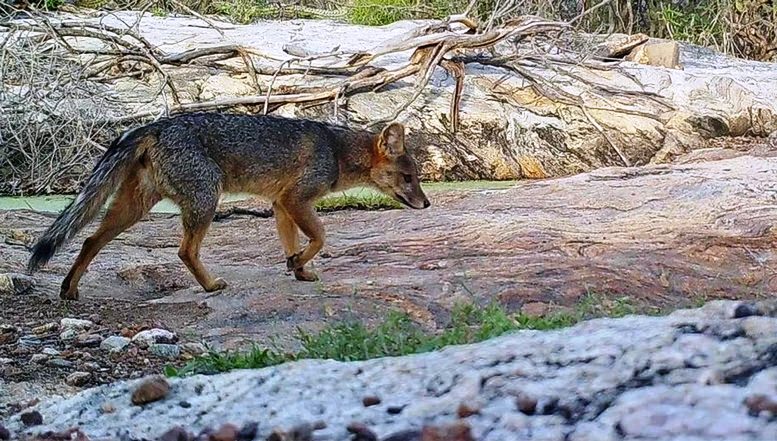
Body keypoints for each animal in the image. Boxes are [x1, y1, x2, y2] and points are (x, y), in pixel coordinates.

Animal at [26, 112, 431, 300]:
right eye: (409, 177)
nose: (426, 203)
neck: (336, 149)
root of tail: (156, 124)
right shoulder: (295, 199)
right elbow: (320, 237)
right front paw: (300, 263)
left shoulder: (280, 204)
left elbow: (293, 242)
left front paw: (298, 269)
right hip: (207, 200)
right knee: (185, 250)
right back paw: (209, 286)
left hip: (135, 208)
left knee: (89, 240)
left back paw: (69, 289)